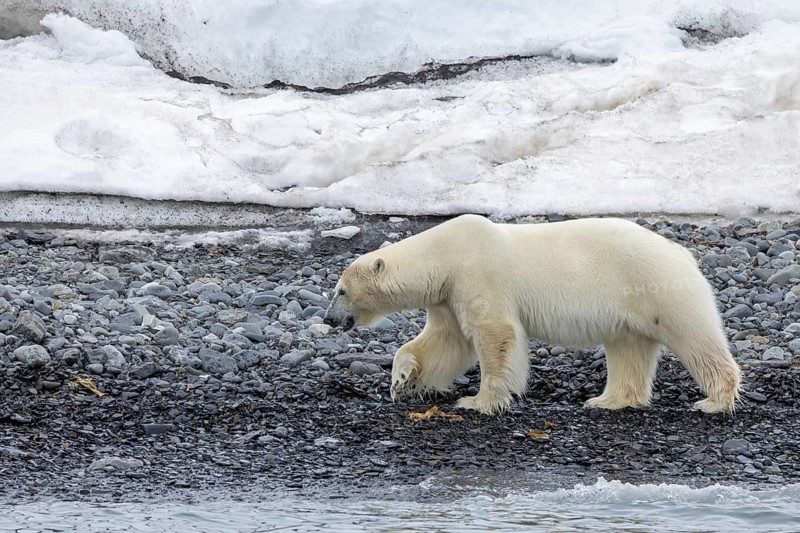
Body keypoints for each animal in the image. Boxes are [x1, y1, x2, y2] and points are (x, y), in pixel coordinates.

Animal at [323, 214, 741, 415]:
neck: (444, 255)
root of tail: (681, 251)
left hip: (657, 287)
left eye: (340, 290)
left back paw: (714, 401)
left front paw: (478, 402)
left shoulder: (477, 274)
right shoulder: (447, 294)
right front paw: (401, 380)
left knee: (696, 339)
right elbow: (447, 341)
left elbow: (495, 334)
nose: (328, 319)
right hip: (629, 308)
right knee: (628, 349)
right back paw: (608, 400)